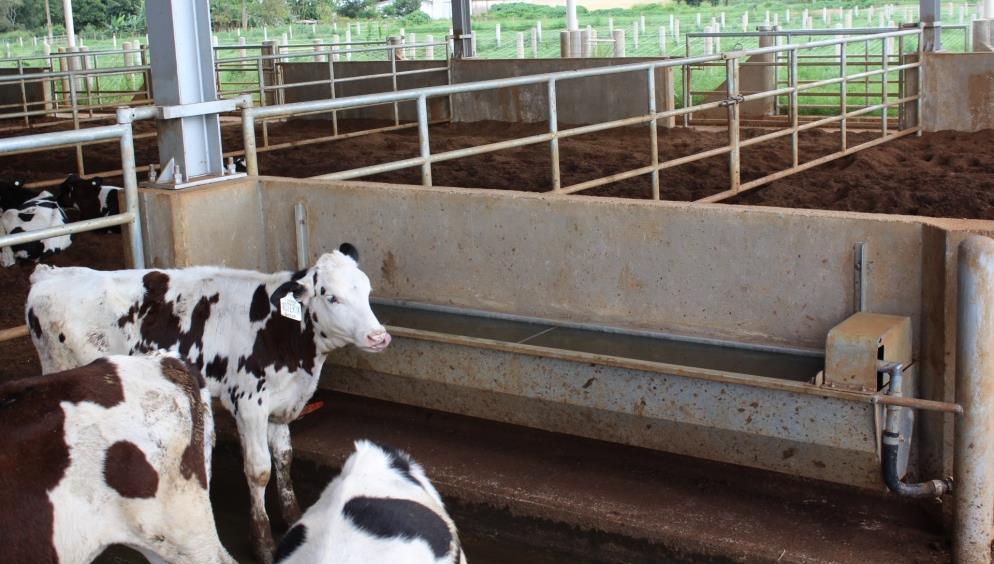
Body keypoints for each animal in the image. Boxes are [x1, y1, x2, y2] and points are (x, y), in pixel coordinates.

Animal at [27, 243, 392, 564]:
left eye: (367, 290)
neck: (282, 334)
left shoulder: (282, 403)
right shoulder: (250, 404)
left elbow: (284, 458)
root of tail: (50, 274)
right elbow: (259, 469)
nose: (379, 337)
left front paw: (293, 517)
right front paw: (263, 543)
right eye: (331, 296)